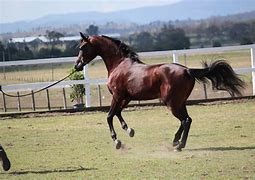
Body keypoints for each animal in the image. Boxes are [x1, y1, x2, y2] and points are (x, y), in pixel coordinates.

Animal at [74, 32, 245, 150]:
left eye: (82, 47)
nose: (77, 65)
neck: (119, 64)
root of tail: (187, 70)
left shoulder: (117, 96)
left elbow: (109, 116)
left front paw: (117, 141)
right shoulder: (126, 97)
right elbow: (117, 113)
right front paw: (129, 130)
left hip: (171, 103)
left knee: (186, 120)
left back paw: (179, 145)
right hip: (180, 102)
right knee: (187, 120)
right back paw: (176, 141)